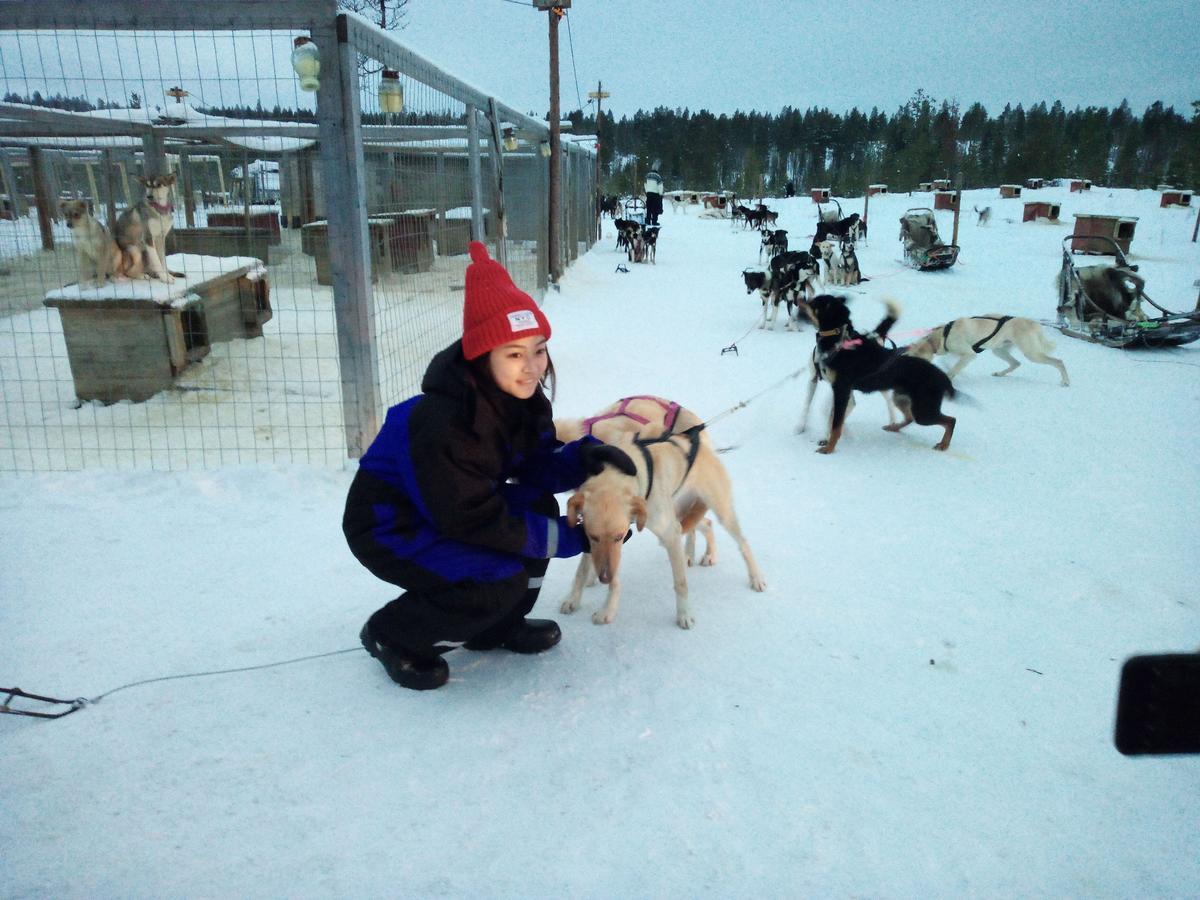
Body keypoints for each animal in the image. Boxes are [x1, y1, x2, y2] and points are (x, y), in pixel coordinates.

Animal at [559, 427, 763, 628]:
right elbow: (582, 572)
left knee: (742, 542)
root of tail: (702, 446)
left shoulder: (663, 535)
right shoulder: (594, 542)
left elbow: (680, 583)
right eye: (593, 536)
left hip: (719, 513)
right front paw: (578, 600)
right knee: (706, 524)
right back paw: (703, 554)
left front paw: (685, 614)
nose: (604, 577)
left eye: (619, 536)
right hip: (680, 514)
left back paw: (756, 577)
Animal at [801, 292, 960, 453]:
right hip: (901, 399)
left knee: (951, 420)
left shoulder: (841, 390)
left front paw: (829, 448)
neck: (839, 342)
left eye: (814, 302)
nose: (800, 299)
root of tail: (942, 376)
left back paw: (944, 444)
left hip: (923, 411)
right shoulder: (840, 391)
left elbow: (836, 425)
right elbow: (832, 417)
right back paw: (894, 427)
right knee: (910, 418)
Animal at [907, 314, 1070, 386]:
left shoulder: (969, 354)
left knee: (1059, 361)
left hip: (1032, 353)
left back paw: (1066, 381)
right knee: (1016, 363)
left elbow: (953, 369)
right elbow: (951, 364)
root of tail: (1033, 323)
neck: (943, 334)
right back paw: (1000, 374)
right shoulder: (957, 354)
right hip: (999, 351)